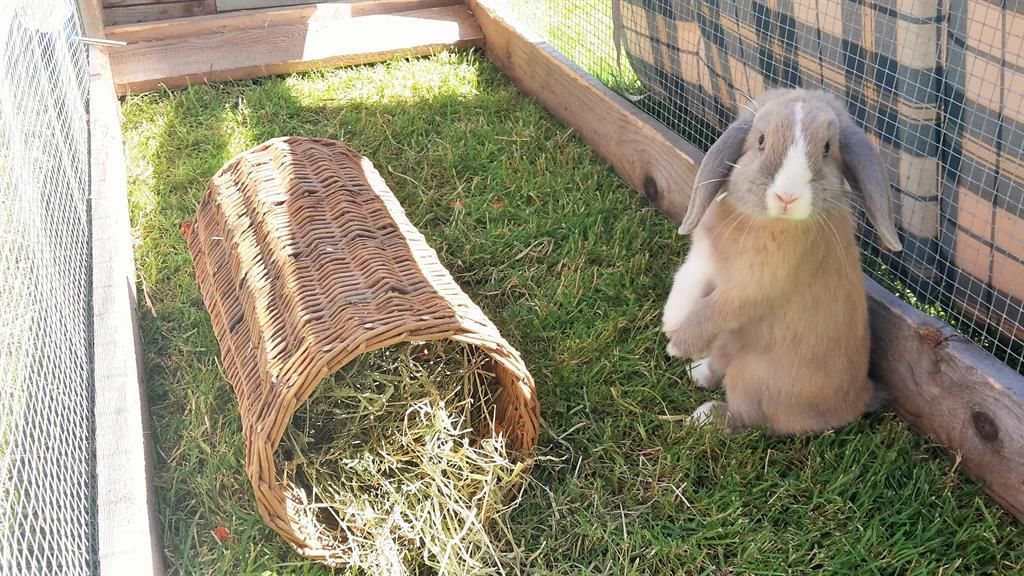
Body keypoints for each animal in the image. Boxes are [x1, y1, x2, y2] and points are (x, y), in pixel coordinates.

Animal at [661, 88, 902, 436]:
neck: (764, 220)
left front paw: (678, 345)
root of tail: (859, 399)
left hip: (752, 379)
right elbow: (686, 282)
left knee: (747, 418)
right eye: (761, 140)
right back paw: (698, 372)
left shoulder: (749, 291)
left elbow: (712, 309)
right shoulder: (703, 257)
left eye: (827, 148)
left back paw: (704, 416)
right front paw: (671, 322)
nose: (788, 196)